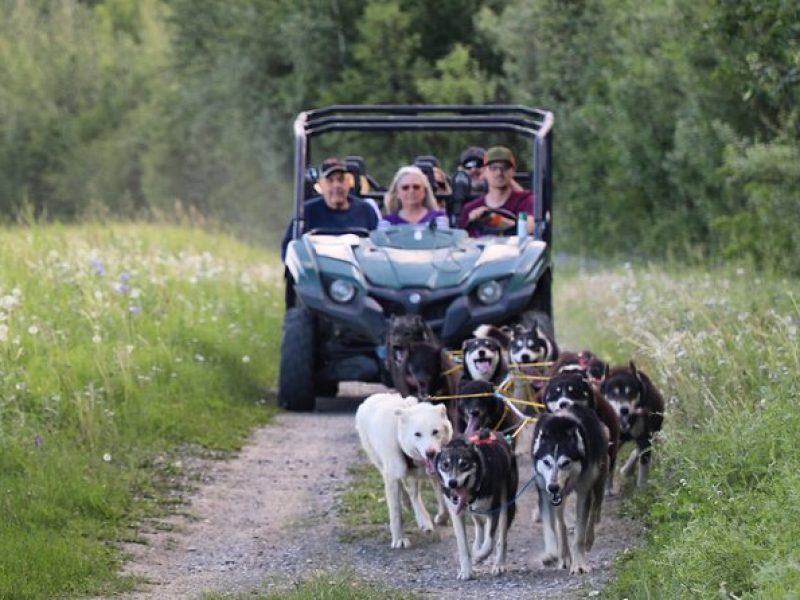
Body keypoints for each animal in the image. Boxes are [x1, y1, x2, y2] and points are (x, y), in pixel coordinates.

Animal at [354, 394, 454, 548]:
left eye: (435, 432)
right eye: (417, 434)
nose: (430, 453)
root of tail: (371, 397)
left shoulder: (436, 474)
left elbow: (442, 499)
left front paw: (442, 517)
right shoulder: (392, 478)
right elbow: (396, 513)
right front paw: (399, 539)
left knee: (413, 494)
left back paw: (423, 519)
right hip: (383, 465)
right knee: (407, 492)